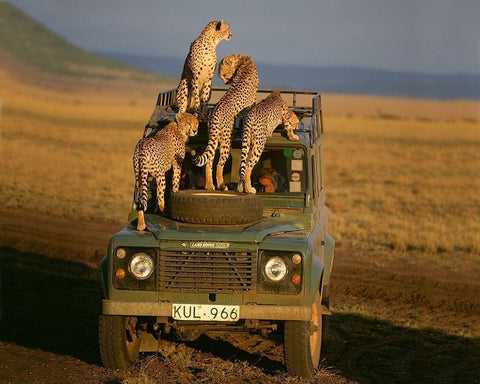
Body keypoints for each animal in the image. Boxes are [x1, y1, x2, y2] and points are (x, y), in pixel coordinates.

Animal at [191, 53, 258, 191]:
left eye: (224, 74)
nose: (226, 82)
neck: (242, 61)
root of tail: (215, 110)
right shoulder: (252, 103)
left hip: (214, 137)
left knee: (209, 161)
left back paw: (209, 185)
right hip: (227, 140)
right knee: (219, 164)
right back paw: (222, 185)